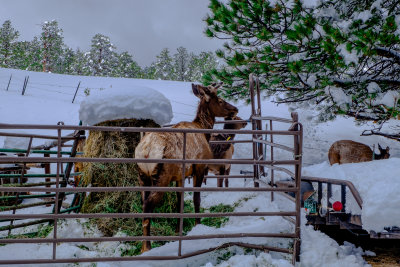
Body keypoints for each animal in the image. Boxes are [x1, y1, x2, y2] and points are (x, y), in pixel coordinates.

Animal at [134, 82, 238, 253]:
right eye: (220, 100)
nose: (235, 109)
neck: (204, 130)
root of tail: (146, 150)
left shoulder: (179, 176)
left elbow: (180, 202)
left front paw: (178, 230)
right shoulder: (199, 168)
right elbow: (196, 199)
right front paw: (197, 225)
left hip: (142, 177)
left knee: (143, 204)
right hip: (161, 177)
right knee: (148, 205)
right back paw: (147, 247)